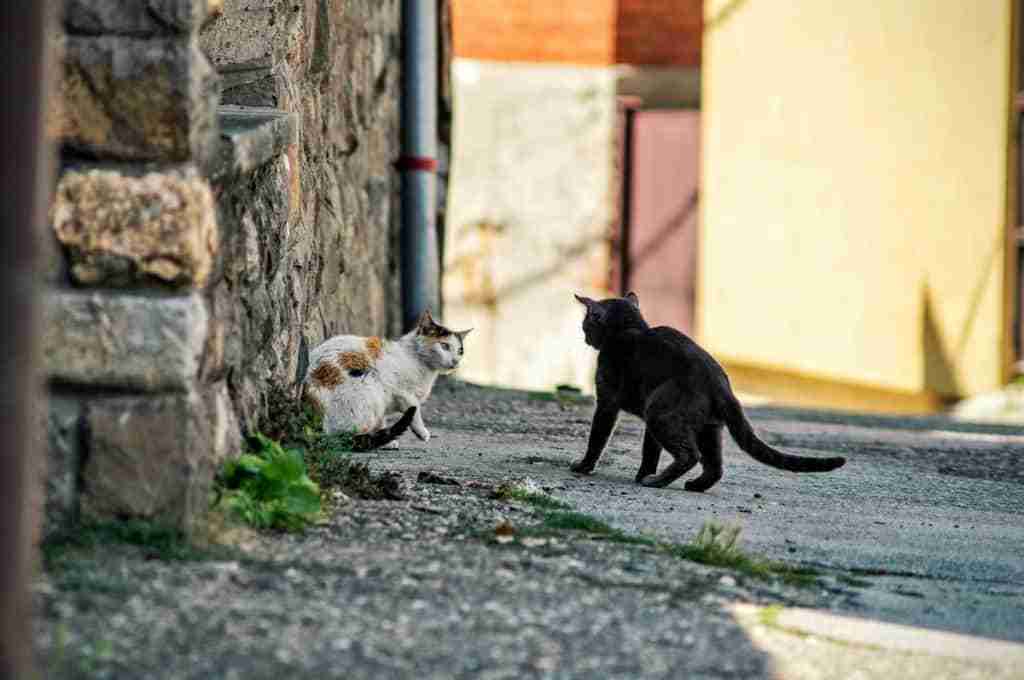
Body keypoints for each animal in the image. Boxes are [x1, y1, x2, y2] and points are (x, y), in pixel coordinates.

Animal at [299, 311, 468, 448]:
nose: (455, 362)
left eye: (460, 351)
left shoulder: (386, 407)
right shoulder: (404, 394)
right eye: (444, 346)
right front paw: (422, 432)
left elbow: (382, 421)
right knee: (345, 434)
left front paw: (387, 440)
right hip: (371, 388)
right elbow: (416, 412)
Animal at [573, 290, 843, 489]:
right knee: (715, 466)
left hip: (660, 413)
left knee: (690, 455)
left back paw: (658, 481)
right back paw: (694, 485)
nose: (584, 337)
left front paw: (584, 467)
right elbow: (650, 451)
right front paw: (642, 475)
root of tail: (720, 384)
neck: (631, 328)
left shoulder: (607, 402)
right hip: (707, 428)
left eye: (586, 324)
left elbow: (598, 438)